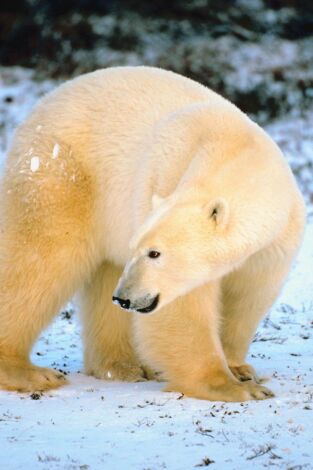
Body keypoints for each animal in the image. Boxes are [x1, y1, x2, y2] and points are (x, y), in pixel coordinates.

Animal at [0, 64, 304, 398]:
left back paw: (124, 366)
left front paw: (240, 369)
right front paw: (232, 387)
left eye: (154, 253)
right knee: (40, 260)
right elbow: (183, 307)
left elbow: (249, 294)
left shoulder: (275, 241)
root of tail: (44, 102)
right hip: (62, 175)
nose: (125, 298)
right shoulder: (164, 180)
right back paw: (29, 372)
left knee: (104, 272)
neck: (234, 146)